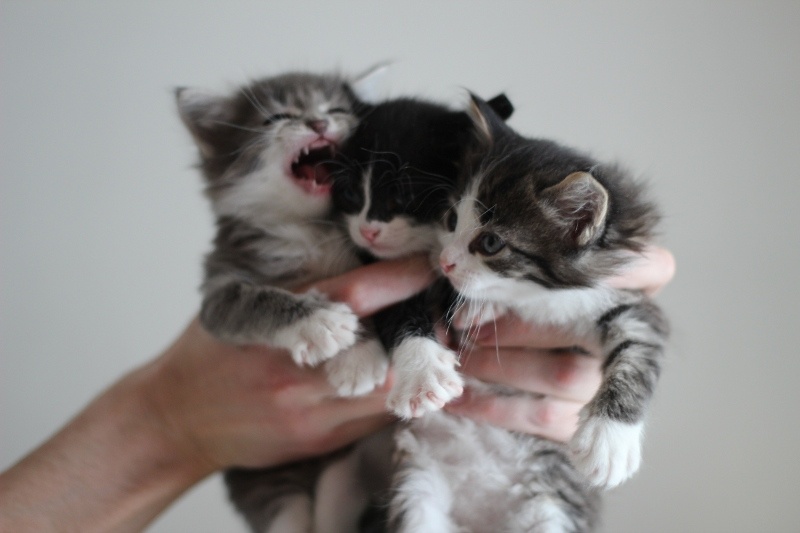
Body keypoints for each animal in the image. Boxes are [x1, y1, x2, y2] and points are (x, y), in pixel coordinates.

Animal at [176, 68, 394, 533]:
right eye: (279, 116)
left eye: (337, 109)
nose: (317, 123)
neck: (309, 230)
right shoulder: (219, 287)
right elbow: (254, 301)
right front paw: (321, 323)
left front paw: (359, 355)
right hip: (259, 472)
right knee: (287, 510)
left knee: (335, 490)